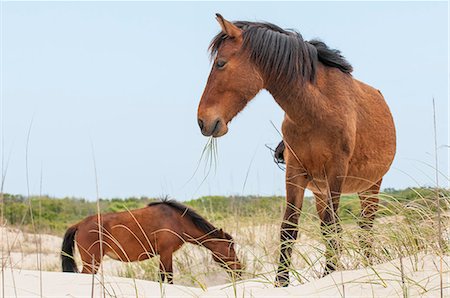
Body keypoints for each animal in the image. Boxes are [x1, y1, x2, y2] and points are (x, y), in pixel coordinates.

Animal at [62, 199, 243, 282]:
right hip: (92, 262)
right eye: (231, 248)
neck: (177, 220)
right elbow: (166, 277)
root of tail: (79, 224)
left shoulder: (165, 255)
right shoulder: (166, 253)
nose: (239, 269)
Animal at [199, 15, 396, 288]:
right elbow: (289, 228)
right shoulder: (295, 173)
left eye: (220, 63)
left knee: (365, 227)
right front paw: (281, 283)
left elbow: (334, 227)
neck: (316, 110)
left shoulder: (336, 172)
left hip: (370, 187)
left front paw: (330, 275)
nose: (203, 122)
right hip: (321, 191)